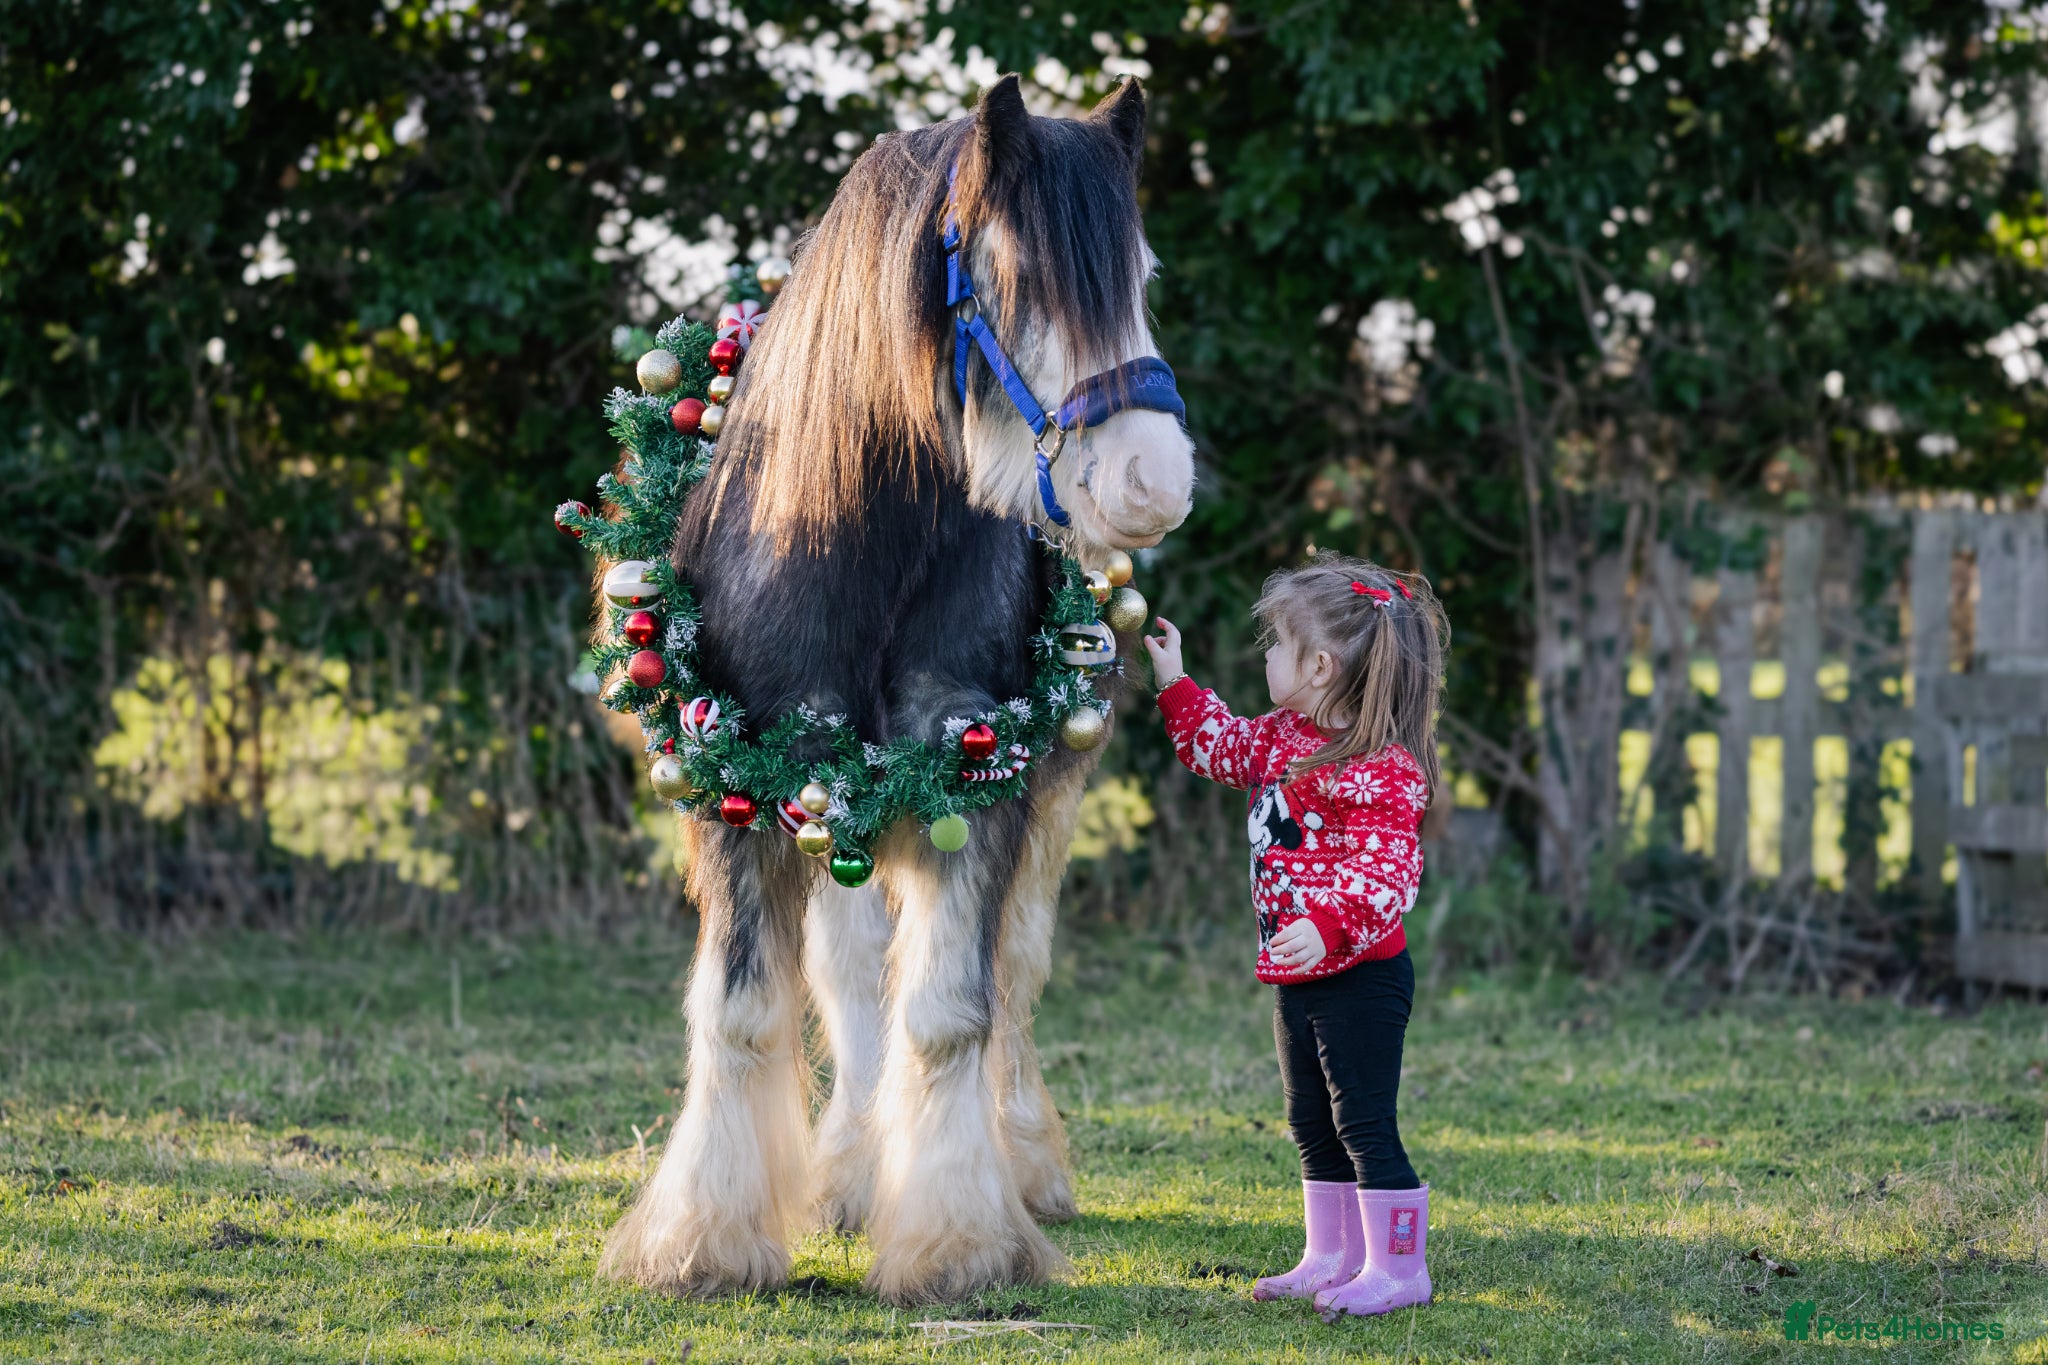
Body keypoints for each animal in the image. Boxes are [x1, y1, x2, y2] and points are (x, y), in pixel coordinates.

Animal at [597, 73, 1195, 1307]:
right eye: (1016, 273)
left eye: (1143, 274)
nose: (1151, 482)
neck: (854, 547)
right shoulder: (734, 784)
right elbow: (745, 1006)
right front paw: (705, 1241)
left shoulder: (980, 779)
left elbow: (956, 1006)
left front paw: (960, 1240)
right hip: (831, 800)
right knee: (850, 968)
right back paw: (847, 1171)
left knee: (1008, 968)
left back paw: (1015, 1164)